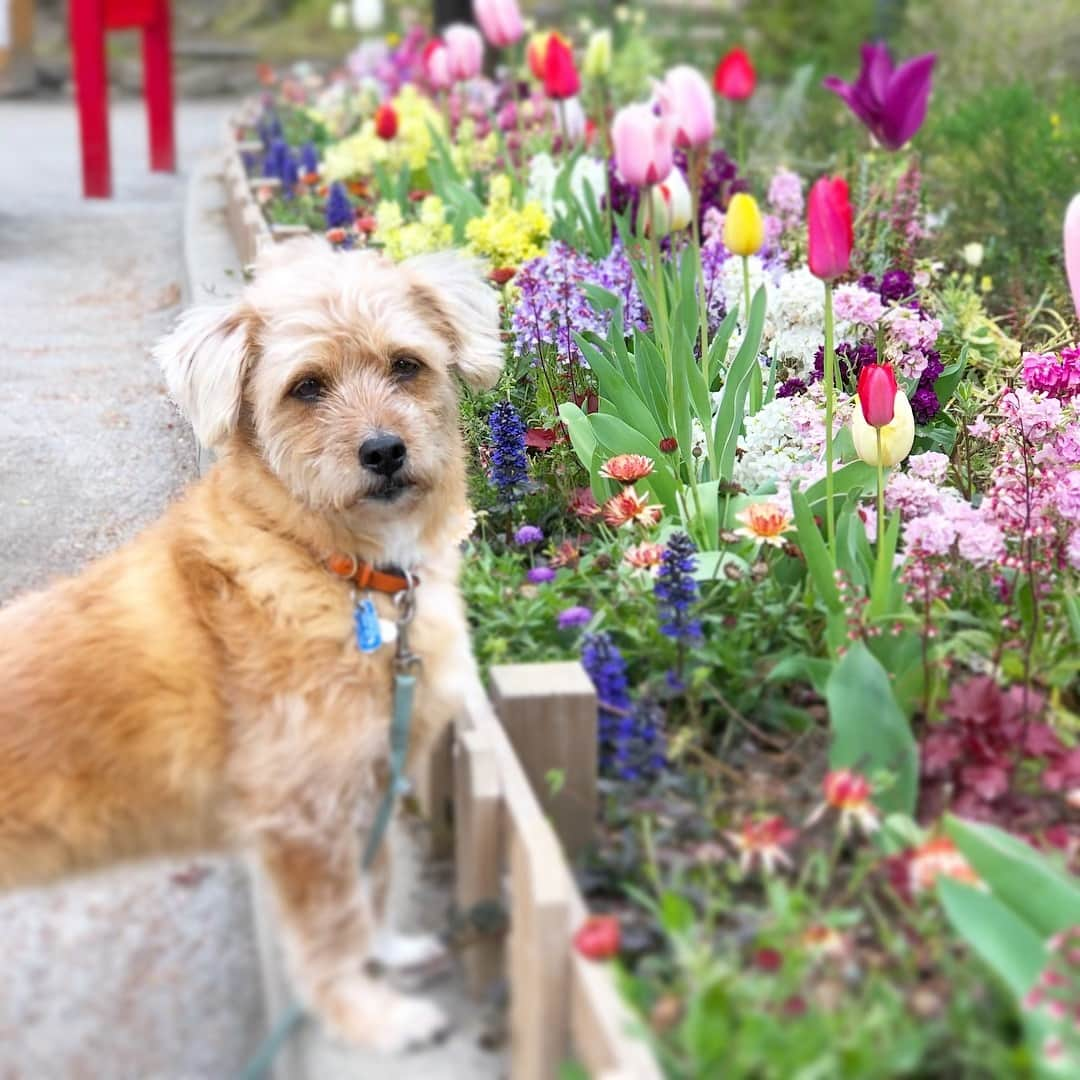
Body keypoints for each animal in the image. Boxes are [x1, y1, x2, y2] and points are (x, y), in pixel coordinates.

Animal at [0, 238, 505, 1054]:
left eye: (406, 365)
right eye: (306, 387)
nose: (384, 451)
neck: (334, 568)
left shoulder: (364, 783)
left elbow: (378, 879)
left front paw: (389, 951)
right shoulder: (303, 818)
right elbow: (333, 931)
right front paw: (372, 1017)